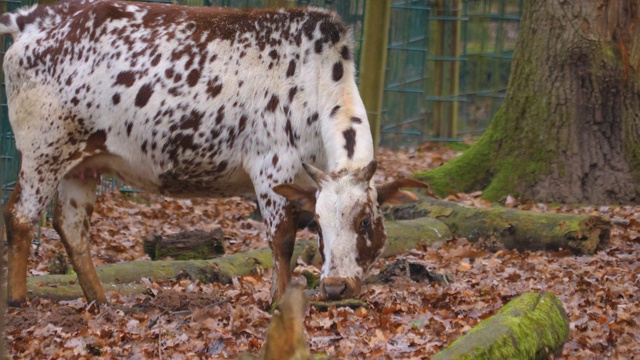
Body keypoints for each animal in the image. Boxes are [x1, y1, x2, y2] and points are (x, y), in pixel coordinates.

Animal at [1, 0, 430, 306]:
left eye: (364, 222)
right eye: (322, 224)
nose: (337, 286)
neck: (317, 84)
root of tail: (33, 18)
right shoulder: (271, 168)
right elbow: (282, 240)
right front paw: (278, 302)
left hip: (81, 164)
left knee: (71, 227)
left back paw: (101, 301)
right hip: (44, 153)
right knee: (20, 216)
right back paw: (19, 300)